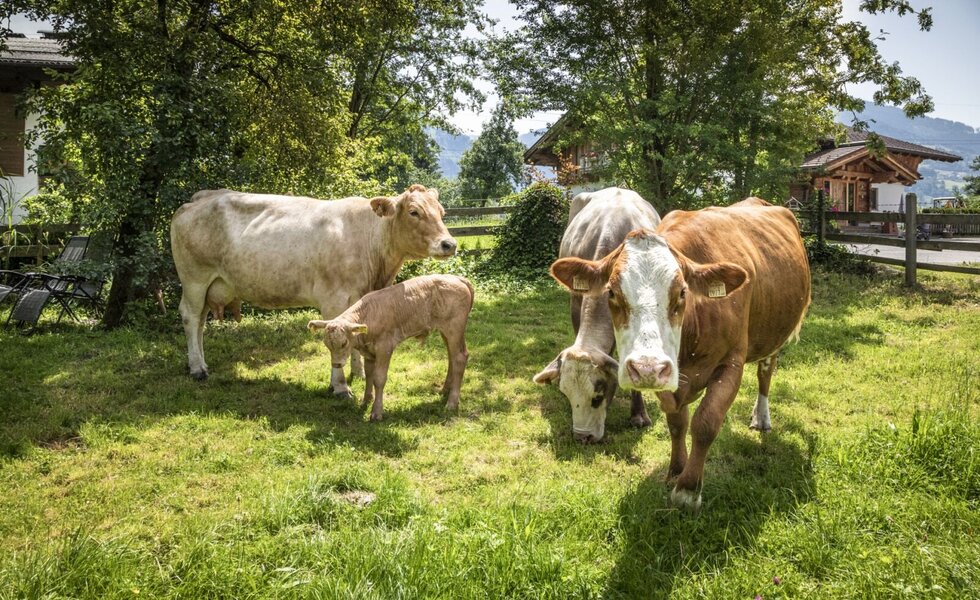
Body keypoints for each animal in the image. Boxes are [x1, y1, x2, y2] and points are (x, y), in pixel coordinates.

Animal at [170, 184, 456, 390]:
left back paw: (202, 363)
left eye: (442, 212)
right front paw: (339, 386)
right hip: (194, 279)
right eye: (414, 212)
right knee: (190, 317)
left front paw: (359, 374)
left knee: (200, 322)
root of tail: (200, 197)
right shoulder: (333, 300)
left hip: (210, 286)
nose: (449, 244)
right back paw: (197, 369)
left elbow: (355, 332)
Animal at [307, 274, 474, 421]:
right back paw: (445, 390)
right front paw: (366, 400)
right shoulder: (369, 352)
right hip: (446, 331)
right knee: (452, 355)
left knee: (460, 357)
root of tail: (458, 278)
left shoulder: (385, 347)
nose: (336, 364)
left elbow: (379, 378)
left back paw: (452, 402)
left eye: (344, 343)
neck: (368, 314)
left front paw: (376, 412)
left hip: (454, 328)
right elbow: (369, 375)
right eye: (327, 345)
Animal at [548, 198, 811, 510]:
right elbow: (677, 422)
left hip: (775, 336)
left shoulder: (731, 364)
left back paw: (762, 417)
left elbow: (706, 422)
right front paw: (675, 471)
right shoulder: (667, 373)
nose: (646, 368)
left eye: (683, 292)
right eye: (611, 292)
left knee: (765, 372)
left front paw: (688, 489)